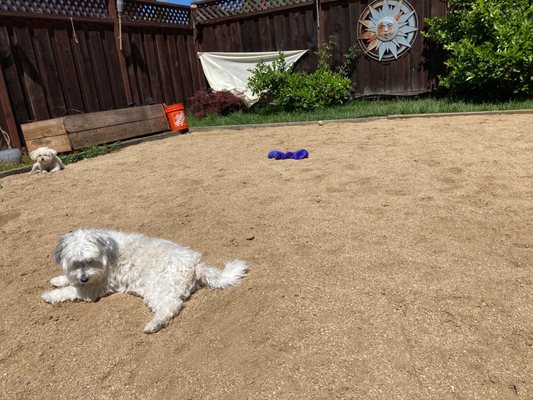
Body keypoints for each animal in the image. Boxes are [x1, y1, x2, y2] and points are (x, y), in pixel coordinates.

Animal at [42, 230, 248, 332]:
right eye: (77, 263)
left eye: (91, 261)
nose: (84, 277)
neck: (106, 250)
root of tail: (196, 265)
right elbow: (69, 281)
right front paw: (58, 279)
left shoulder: (93, 289)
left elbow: (70, 290)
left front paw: (50, 295)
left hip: (157, 287)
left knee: (171, 306)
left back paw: (153, 325)